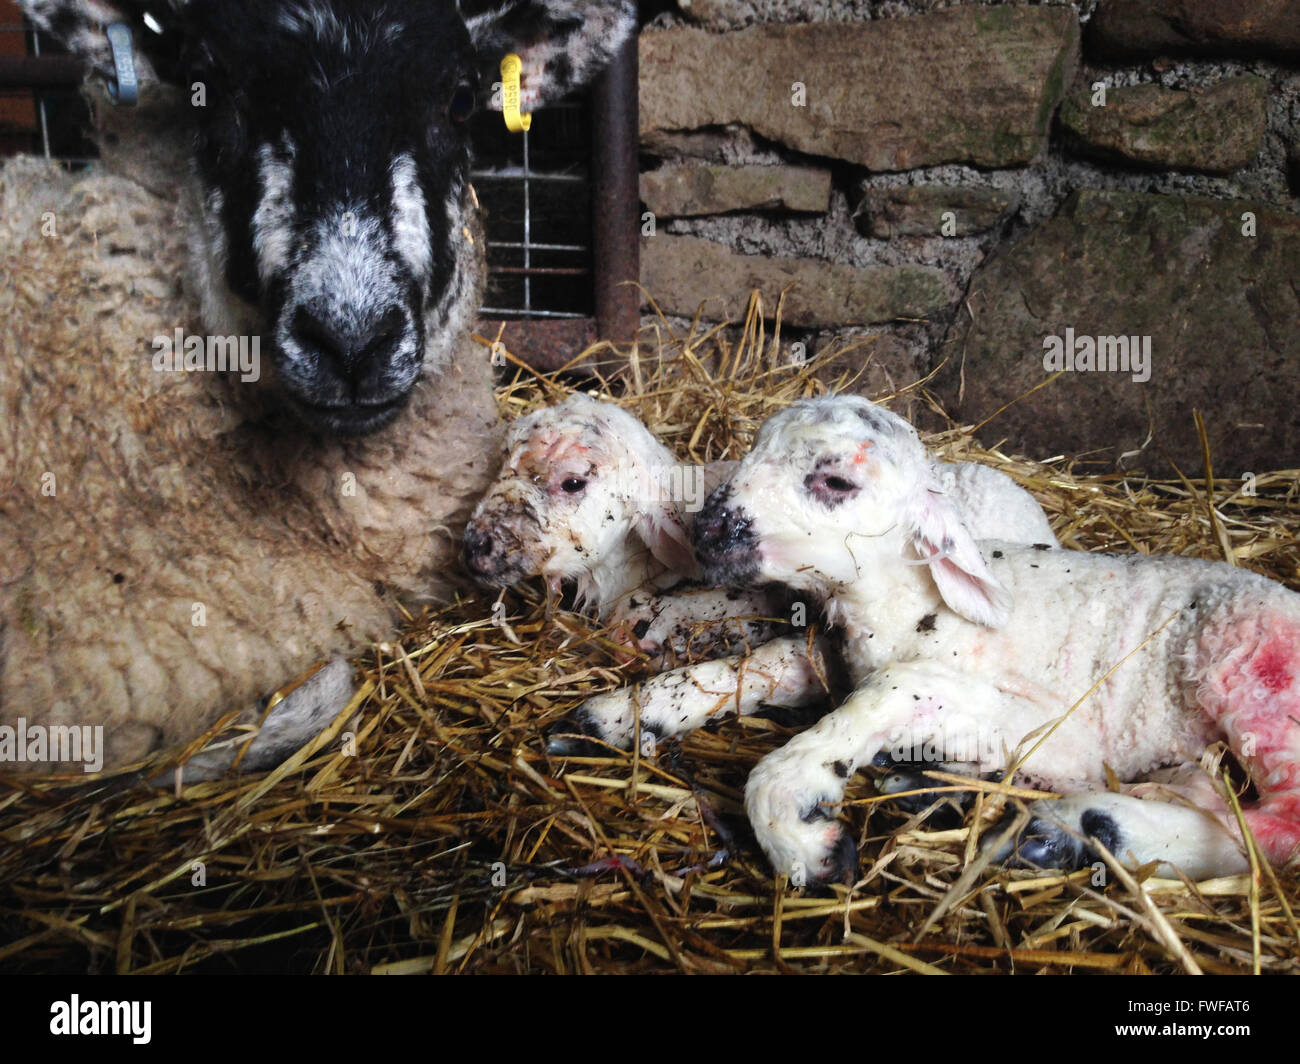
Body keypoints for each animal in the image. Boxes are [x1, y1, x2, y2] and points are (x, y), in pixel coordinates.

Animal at [681, 392, 1300, 884]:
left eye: (836, 482)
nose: (703, 529)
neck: (910, 605)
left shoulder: (1051, 728)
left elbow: (888, 691)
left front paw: (799, 828)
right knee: (1211, 796)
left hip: (1253, 676)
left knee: (1275, 828)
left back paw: (1079, 826)